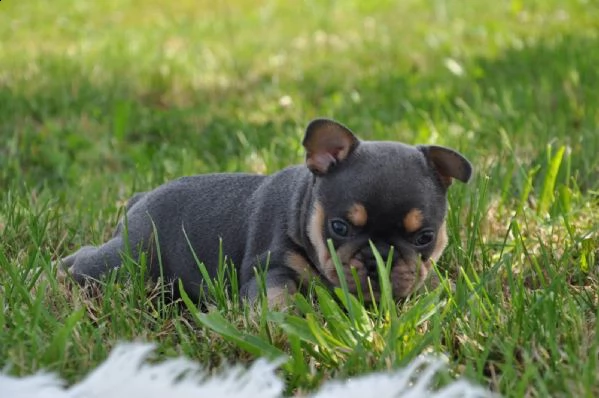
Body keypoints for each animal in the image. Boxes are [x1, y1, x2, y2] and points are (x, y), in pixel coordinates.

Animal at [61, 119, 474, 306]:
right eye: (339, 227)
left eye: (425, 237)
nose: (381, 257)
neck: (303, 209)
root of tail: (140, 199)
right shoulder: (270, 267)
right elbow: (276, 297)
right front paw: (275, 326)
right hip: (126, 259)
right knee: (90, 262)